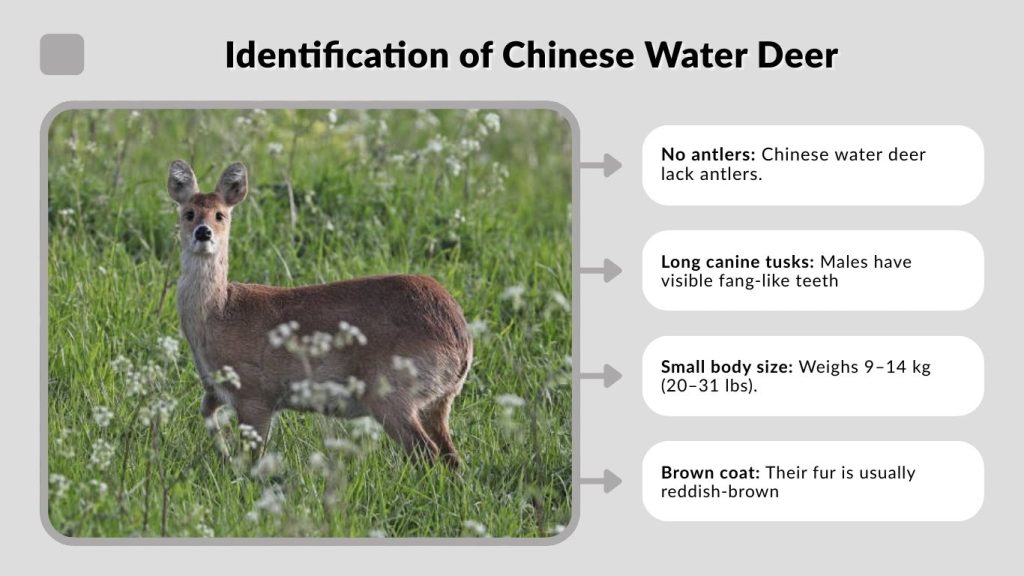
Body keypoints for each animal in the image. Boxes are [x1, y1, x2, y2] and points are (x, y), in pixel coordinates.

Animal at [167, 160, 472, 469]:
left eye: (220, 214)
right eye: (188, 213)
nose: (203, 232)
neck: (217, 313)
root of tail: (462, 341)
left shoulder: (255, 392)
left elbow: (255, 453)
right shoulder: (216, 389)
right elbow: (205, 410)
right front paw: (224, 455)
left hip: (391, 391)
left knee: (426, 452)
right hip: (437, 401)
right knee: (452, 457)